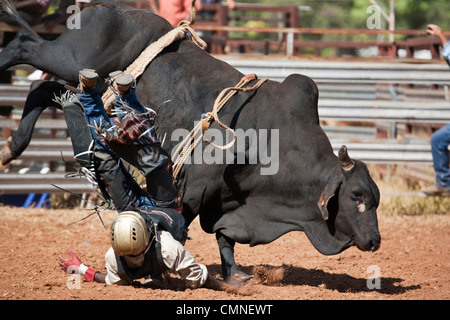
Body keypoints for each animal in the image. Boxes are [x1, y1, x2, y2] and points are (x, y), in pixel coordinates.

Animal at [0, 0, 380, 280]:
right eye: (357, 196)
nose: (375, 241)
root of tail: (104, 6)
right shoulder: (196, 188)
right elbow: (182, 225)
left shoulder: (227, 203)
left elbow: (225, 238)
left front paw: (235, 276)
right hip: (70, 59)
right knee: (25, 48)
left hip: (77, 80)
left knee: (45, 89)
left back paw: (13, 147)